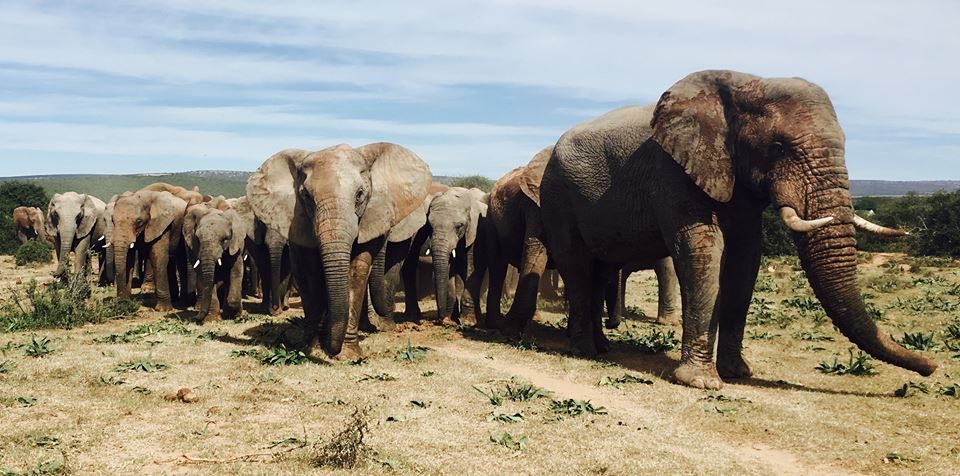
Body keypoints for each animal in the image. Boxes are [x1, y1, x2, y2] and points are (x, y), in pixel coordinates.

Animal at [248, 143, 432, 358]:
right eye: (306, 196)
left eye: (360, 194)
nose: (331, 350)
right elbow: (313, 272)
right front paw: (317, 349)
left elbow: (357, 272)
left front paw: (348, 354)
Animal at [540, 71, 936, 390]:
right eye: (778, 147)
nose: (932, 367)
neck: (744, 86)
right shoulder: (673, 173)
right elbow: (702, 252)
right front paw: (701, 383)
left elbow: (745, 261)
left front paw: (737, 373)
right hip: (558, 196)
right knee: (578, 267)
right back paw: (586, 351)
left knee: (600, 269)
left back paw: (601, 347)